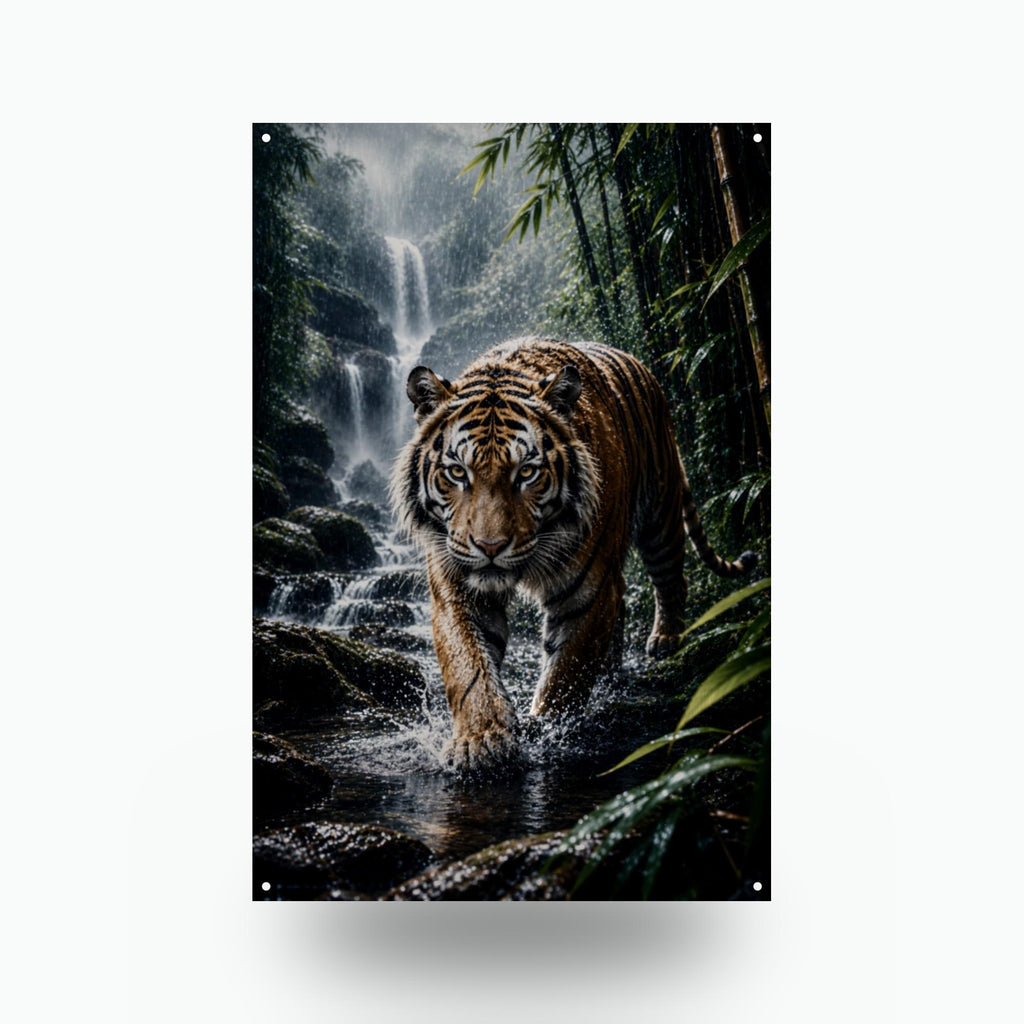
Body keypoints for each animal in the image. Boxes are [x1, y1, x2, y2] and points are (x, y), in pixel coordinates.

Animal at [391, 337, 757, 772]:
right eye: (458, 473)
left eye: (527, 472)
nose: (490, 547)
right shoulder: (459, 587)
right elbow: (468, 667)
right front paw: (481, 740)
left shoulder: (586, 590)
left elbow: (566, 673)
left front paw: (547, 730)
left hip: (660, 512)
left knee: (671, 578)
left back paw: (666, 639)